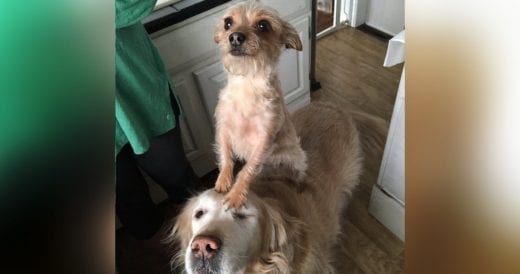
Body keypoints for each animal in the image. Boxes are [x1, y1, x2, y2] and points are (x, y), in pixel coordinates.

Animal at [212, 1, 306, 208]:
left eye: (263, 25)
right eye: (228, 23)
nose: (235, 37)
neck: (247, 82)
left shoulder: (264, 139)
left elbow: (247, 170)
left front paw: (236, 195)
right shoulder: (223, 128)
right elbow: (225, 156)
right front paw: (223, 181)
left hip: (297, 159)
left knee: (298, 173)